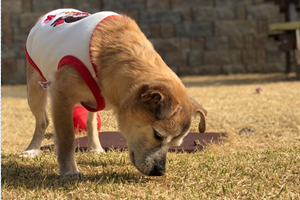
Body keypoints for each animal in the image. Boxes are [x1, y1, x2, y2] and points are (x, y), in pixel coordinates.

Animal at [21, 9, 206, 177]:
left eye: (175, 143)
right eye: (158, 135)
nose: (160, 171)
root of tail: (52, 12)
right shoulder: (61, 94)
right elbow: (67, 138)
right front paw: (69, 171)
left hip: (92, 101)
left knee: (91, 122)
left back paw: (95, 147)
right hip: (34, 89)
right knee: (43, 121)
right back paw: (32, 150)